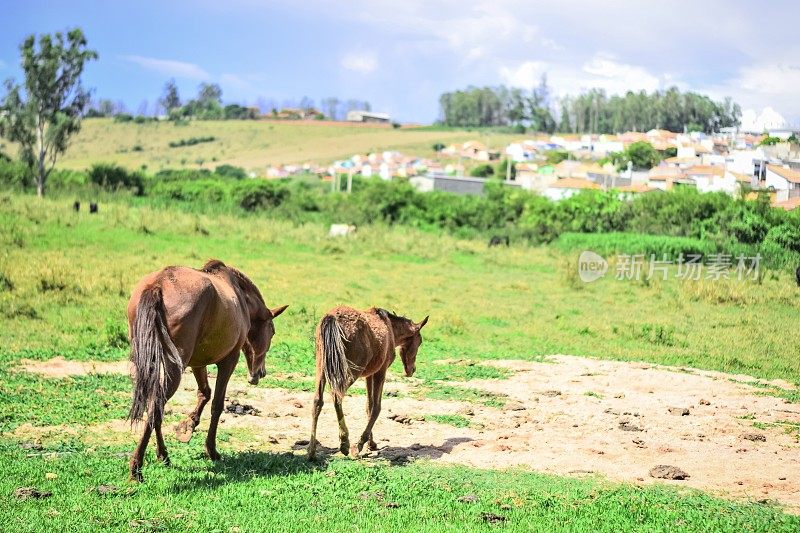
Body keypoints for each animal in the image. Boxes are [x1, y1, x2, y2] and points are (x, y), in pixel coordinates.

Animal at [125, 260, 288, 480]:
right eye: (272, 331)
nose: (260, 374)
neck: (239, 297)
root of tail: (158, 285)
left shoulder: (198, 363)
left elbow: (204, 393)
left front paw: (187, 426)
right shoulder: (229, 360)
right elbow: (217, 405)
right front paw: (211, 450)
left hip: (145, 363)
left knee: (154, 403)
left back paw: (163, 455)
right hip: (174, 368)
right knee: (156, 405)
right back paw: (137, 468)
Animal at [310, 306, 428, 460]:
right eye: (419, 342)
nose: (412, 370)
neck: (388, 326)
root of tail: (331, 318)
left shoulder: (369, 375)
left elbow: (369, 406)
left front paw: (371, 444)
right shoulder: (381, 371)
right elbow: (376, 408)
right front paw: (359, 445)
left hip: (322, 367)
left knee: (317, 401)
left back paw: (311, 451)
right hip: (350, 371)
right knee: (337, 397)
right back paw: (344, 443)